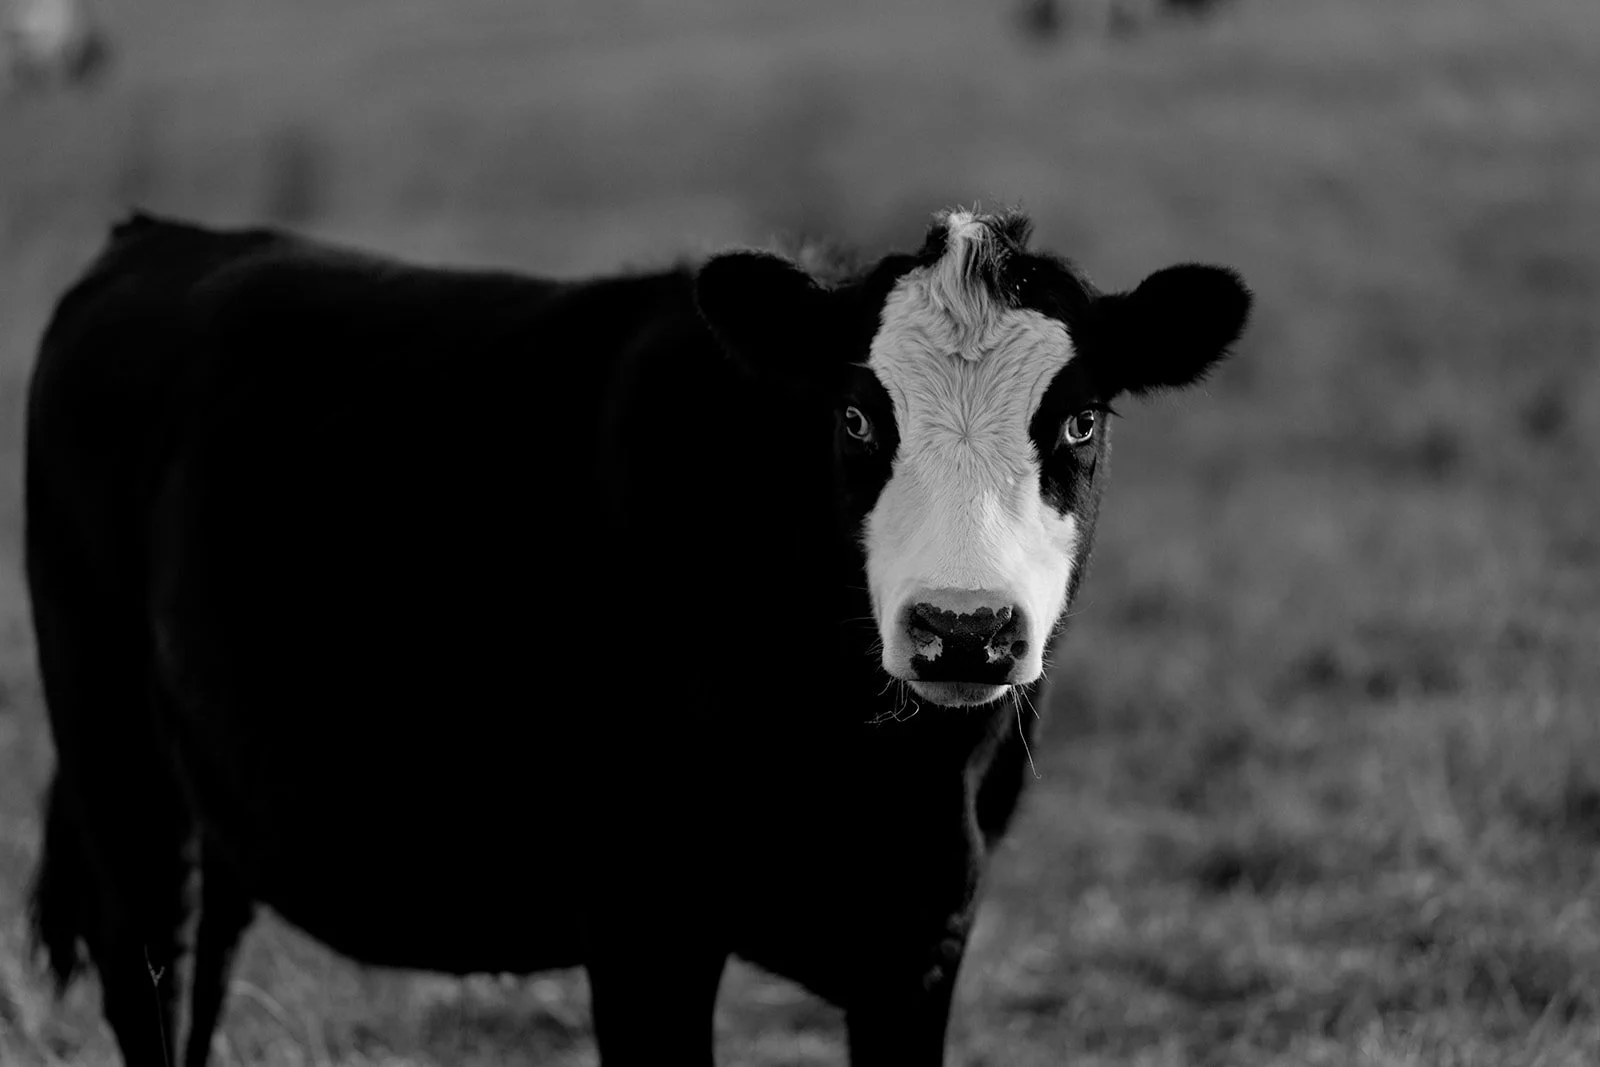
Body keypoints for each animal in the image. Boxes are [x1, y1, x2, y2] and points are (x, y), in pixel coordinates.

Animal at [25, 207, 1251, 1066]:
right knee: (146, 979)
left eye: (1078, 419)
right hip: (114, 764)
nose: (962, 629)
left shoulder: (921, 931)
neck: (872, 772)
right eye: (858, 416)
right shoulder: (642, 923)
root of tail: (157, 236)